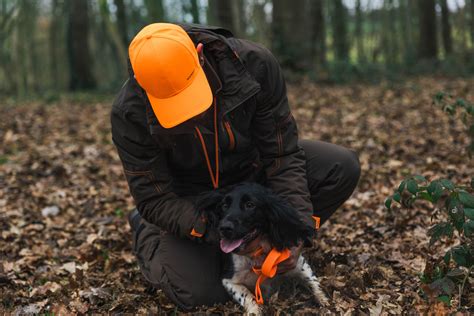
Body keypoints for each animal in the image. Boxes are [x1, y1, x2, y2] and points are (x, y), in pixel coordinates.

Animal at [194, 181, 328, 314]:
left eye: (250, 205)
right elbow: (246, 295)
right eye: (224, 205)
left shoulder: (298, 263)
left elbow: (313, 282)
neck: (257, 254)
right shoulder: (229, 280)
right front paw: (254, 311)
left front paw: (324, 301)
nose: (224, 228)